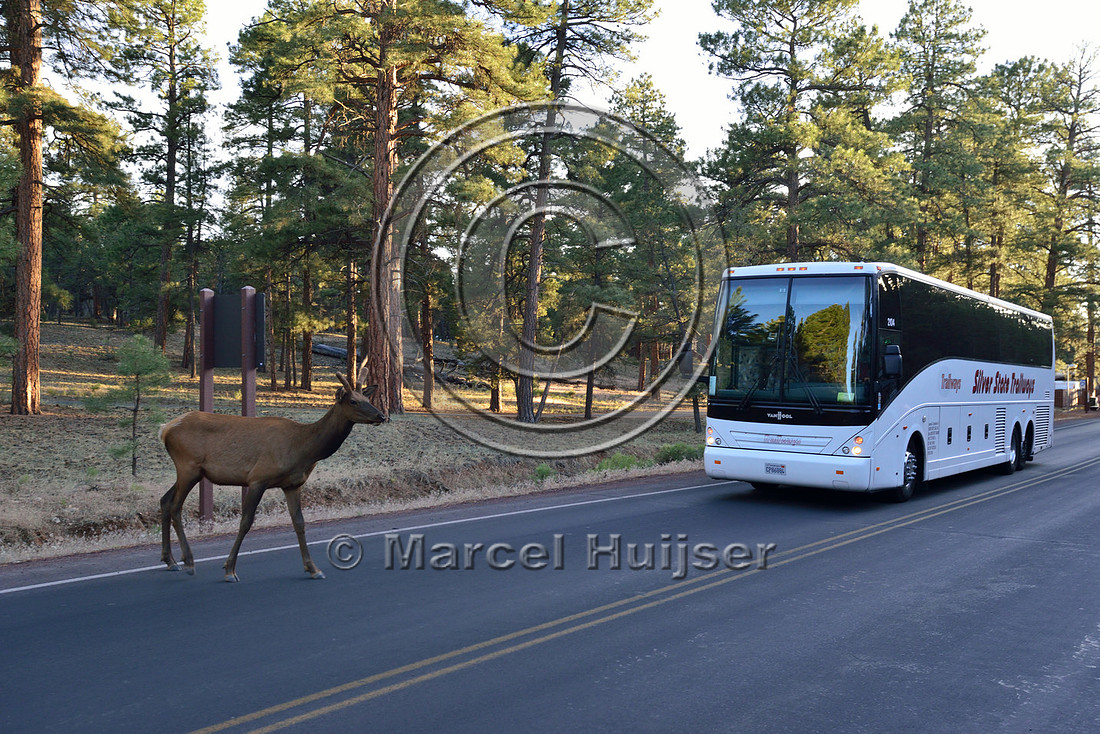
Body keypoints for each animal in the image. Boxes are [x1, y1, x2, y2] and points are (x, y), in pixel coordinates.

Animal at [158, 362, 385, 582]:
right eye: (353, 401)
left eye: (367, 397)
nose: (381, 415)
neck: (303, 450)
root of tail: (165, 429)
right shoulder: (258, 478)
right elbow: (246, 522)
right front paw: (229, 569)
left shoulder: (293, 484)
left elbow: (299, 522)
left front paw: (313, 568)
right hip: (188, 466)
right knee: (176, 506)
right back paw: (188, 561)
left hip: (189, 471)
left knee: (165, 500)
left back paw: (171, 561)